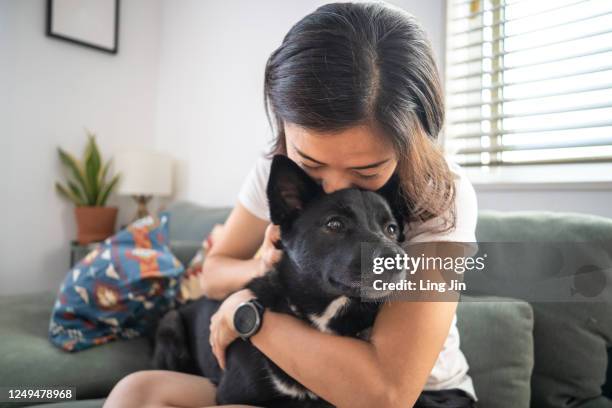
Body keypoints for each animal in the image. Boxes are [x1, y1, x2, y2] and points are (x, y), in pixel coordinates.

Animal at [154, 155, 406, 406]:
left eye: (391, 229)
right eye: (334, 224)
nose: (399, 259)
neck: (322, 313)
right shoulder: (233, 394)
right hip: (171, 324)